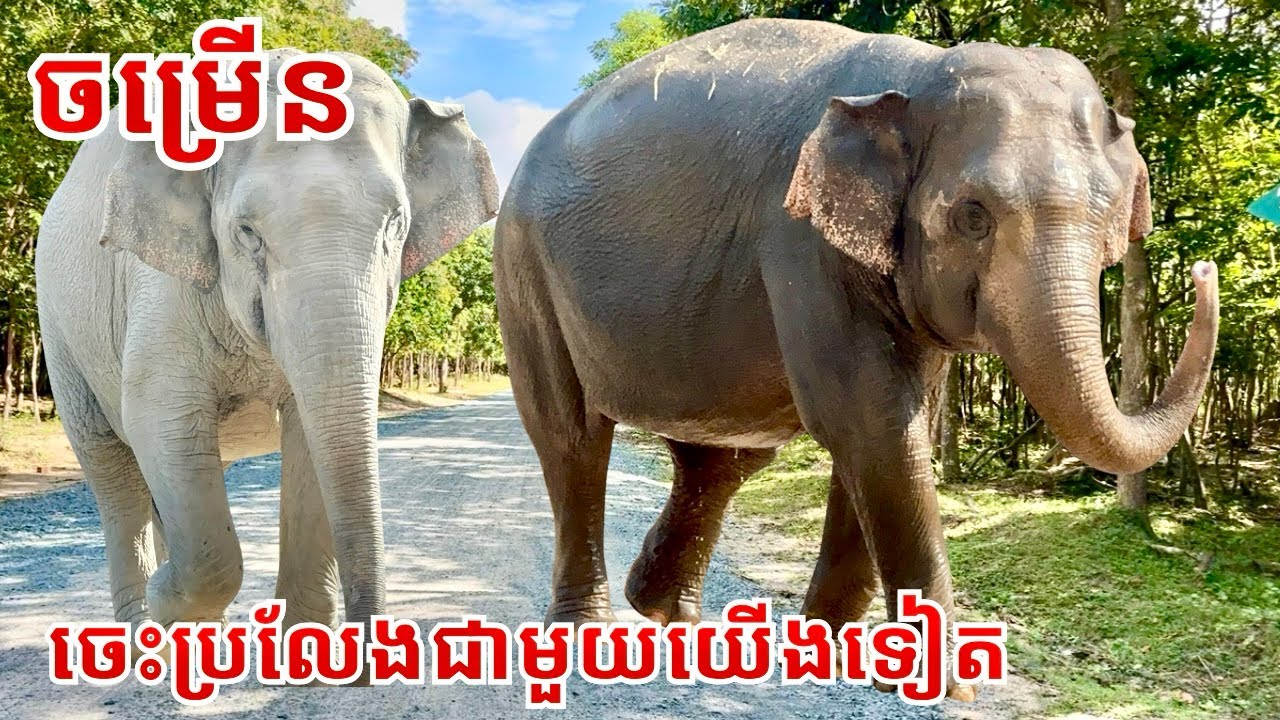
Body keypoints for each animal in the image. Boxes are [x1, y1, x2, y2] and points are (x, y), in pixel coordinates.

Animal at [35, 50, 498, 629]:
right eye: (246, 232)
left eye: (396, 223)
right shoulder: (161, 291)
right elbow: (159, 418)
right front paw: (166, 599)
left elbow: (311, 439)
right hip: (60, 332)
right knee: (112, 468)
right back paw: (145, 623)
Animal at [493, 16, 1219, 678]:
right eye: (972, 216)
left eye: (1109, 216)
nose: (1206, 269)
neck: (921, 73)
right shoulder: (799, 238)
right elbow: (871, 419)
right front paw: (947, 686)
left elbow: (890, 424)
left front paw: (828, 651)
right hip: (524, 270)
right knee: (573, 437)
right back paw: (585, 631)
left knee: (721, 459)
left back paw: (665, 613)